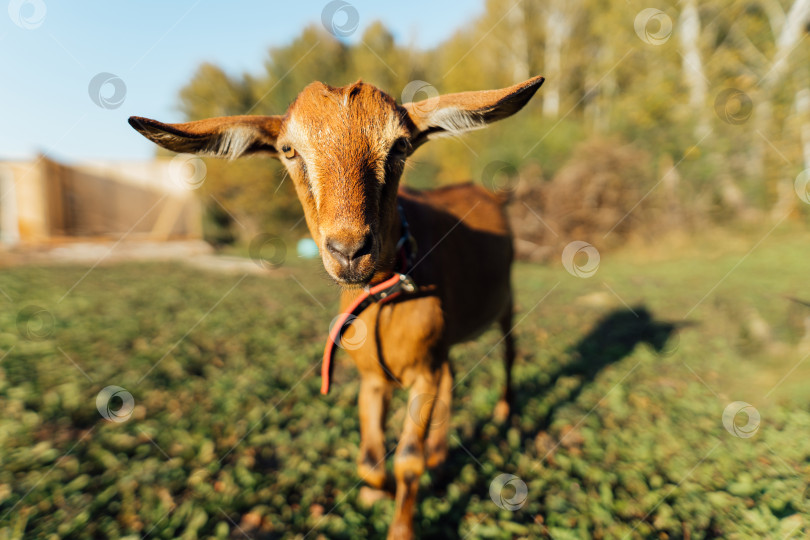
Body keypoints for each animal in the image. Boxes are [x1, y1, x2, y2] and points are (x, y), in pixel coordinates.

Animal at [129, 76, 544, 540]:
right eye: (289, 150)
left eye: (401, 145)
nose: (349, 251)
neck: (387, 298)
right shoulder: (374, 378)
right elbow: (370, 462)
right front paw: (377, 493)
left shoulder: (422, 372)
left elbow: (407, 459)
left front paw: (401, 528)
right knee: (453, 374)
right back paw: (441, 455)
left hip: (506, 302)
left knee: (509, 350)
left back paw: (504, 413)